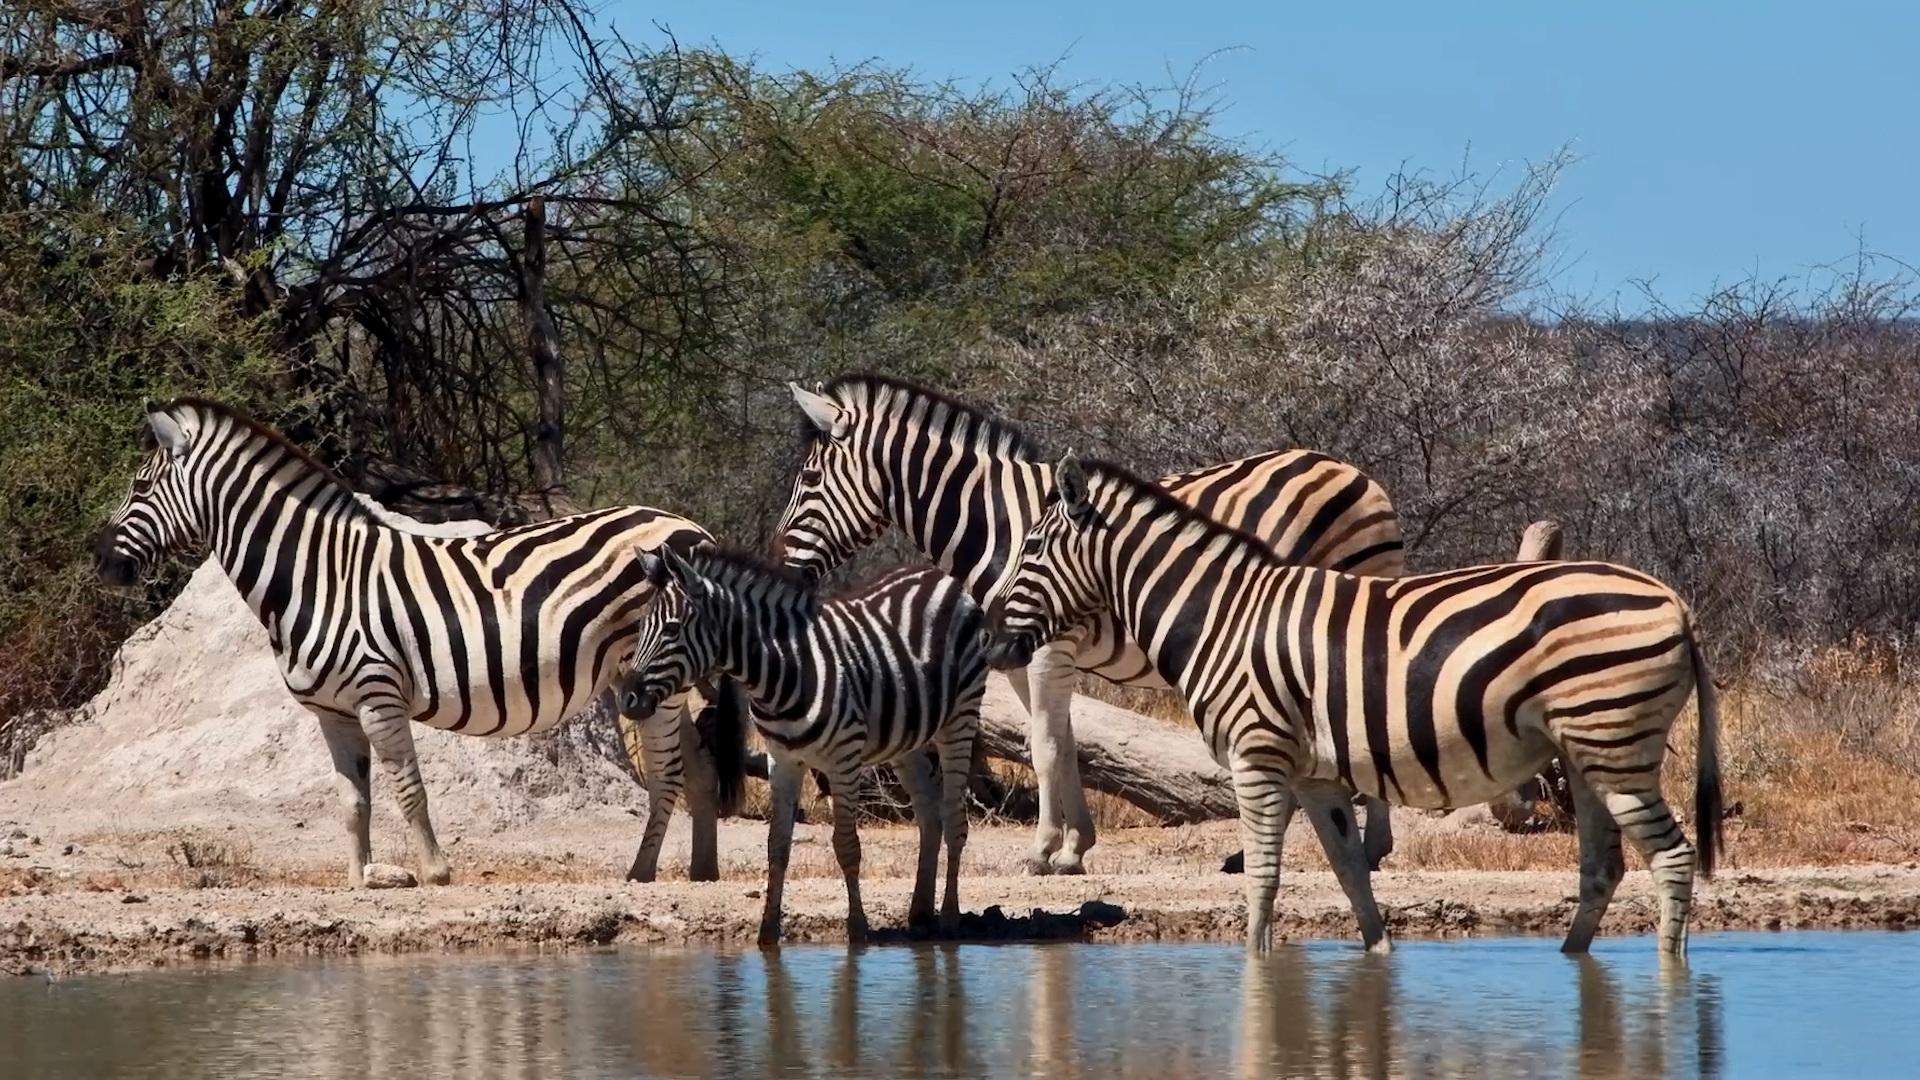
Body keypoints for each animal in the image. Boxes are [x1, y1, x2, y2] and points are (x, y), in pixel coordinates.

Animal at [92, 397, 746, 886]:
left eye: (140, 486)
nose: (100, 563)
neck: (316, 576)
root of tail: (689, 525)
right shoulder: (332, 713)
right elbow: (351, 803)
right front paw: (359, 882)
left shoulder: (378, 695)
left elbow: (408, 790)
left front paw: (434, 873)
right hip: (648, 678)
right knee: (699, 767)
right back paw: (702, 872)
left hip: (656, 672)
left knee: (667, 773)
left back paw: (641, 873)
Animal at [618, 547, 988, 946]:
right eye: (640, 628)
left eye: (671, 629)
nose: (626, 700)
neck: (783, 671)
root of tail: (940, 576)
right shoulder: (782, 760)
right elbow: (777, 846)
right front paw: (768, 931)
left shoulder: (844, 760)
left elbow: (847, 846)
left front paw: (857, 929)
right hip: (905, 738)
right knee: (929, 813)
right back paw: (920, 912)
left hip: (960, 717)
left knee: (954, 817)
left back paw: (949, 919)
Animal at [775, 375, 1406, 877]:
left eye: (809, 480)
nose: (780, 568)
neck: (1000, 525)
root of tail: (1360, 475)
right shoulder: (1019, 655)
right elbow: (1067, 744)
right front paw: (1075, 848)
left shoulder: (1048, 646)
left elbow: (1044, 747)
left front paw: (1042, 851)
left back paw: (1357, 848)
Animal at [983, 454, 1724, 956]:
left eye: (1030, 546)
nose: (991, 637)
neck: (1221, 616)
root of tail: (1678, 602)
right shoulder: (1313, 773)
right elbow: (1348, 873)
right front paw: (1376, 957)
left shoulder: (1257, 756)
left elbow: (1263, 876)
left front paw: (1254, 967)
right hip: (1587, 752)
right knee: (1605, 866)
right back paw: (1572, 960)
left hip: (1614, 744)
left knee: (1674, 858)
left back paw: (1670, 978)